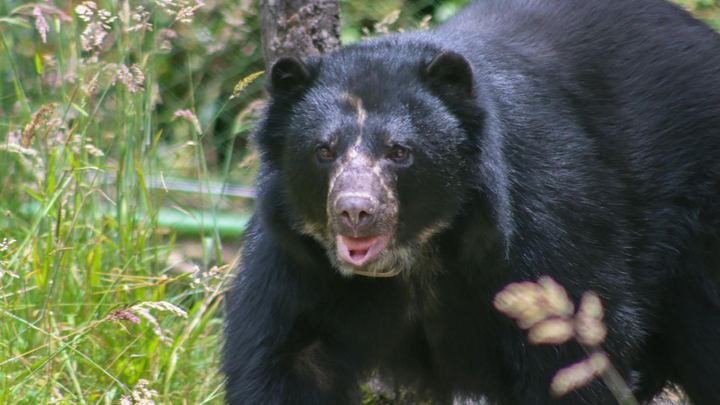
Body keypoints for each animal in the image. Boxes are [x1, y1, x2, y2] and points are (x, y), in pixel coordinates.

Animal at [222, 0, 720, 404]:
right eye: (323, 151)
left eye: (400, 152)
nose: (355, 212)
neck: (416, 252)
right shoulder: (297, 260)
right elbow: (282, 359)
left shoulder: (544, 222)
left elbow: (570, 355)